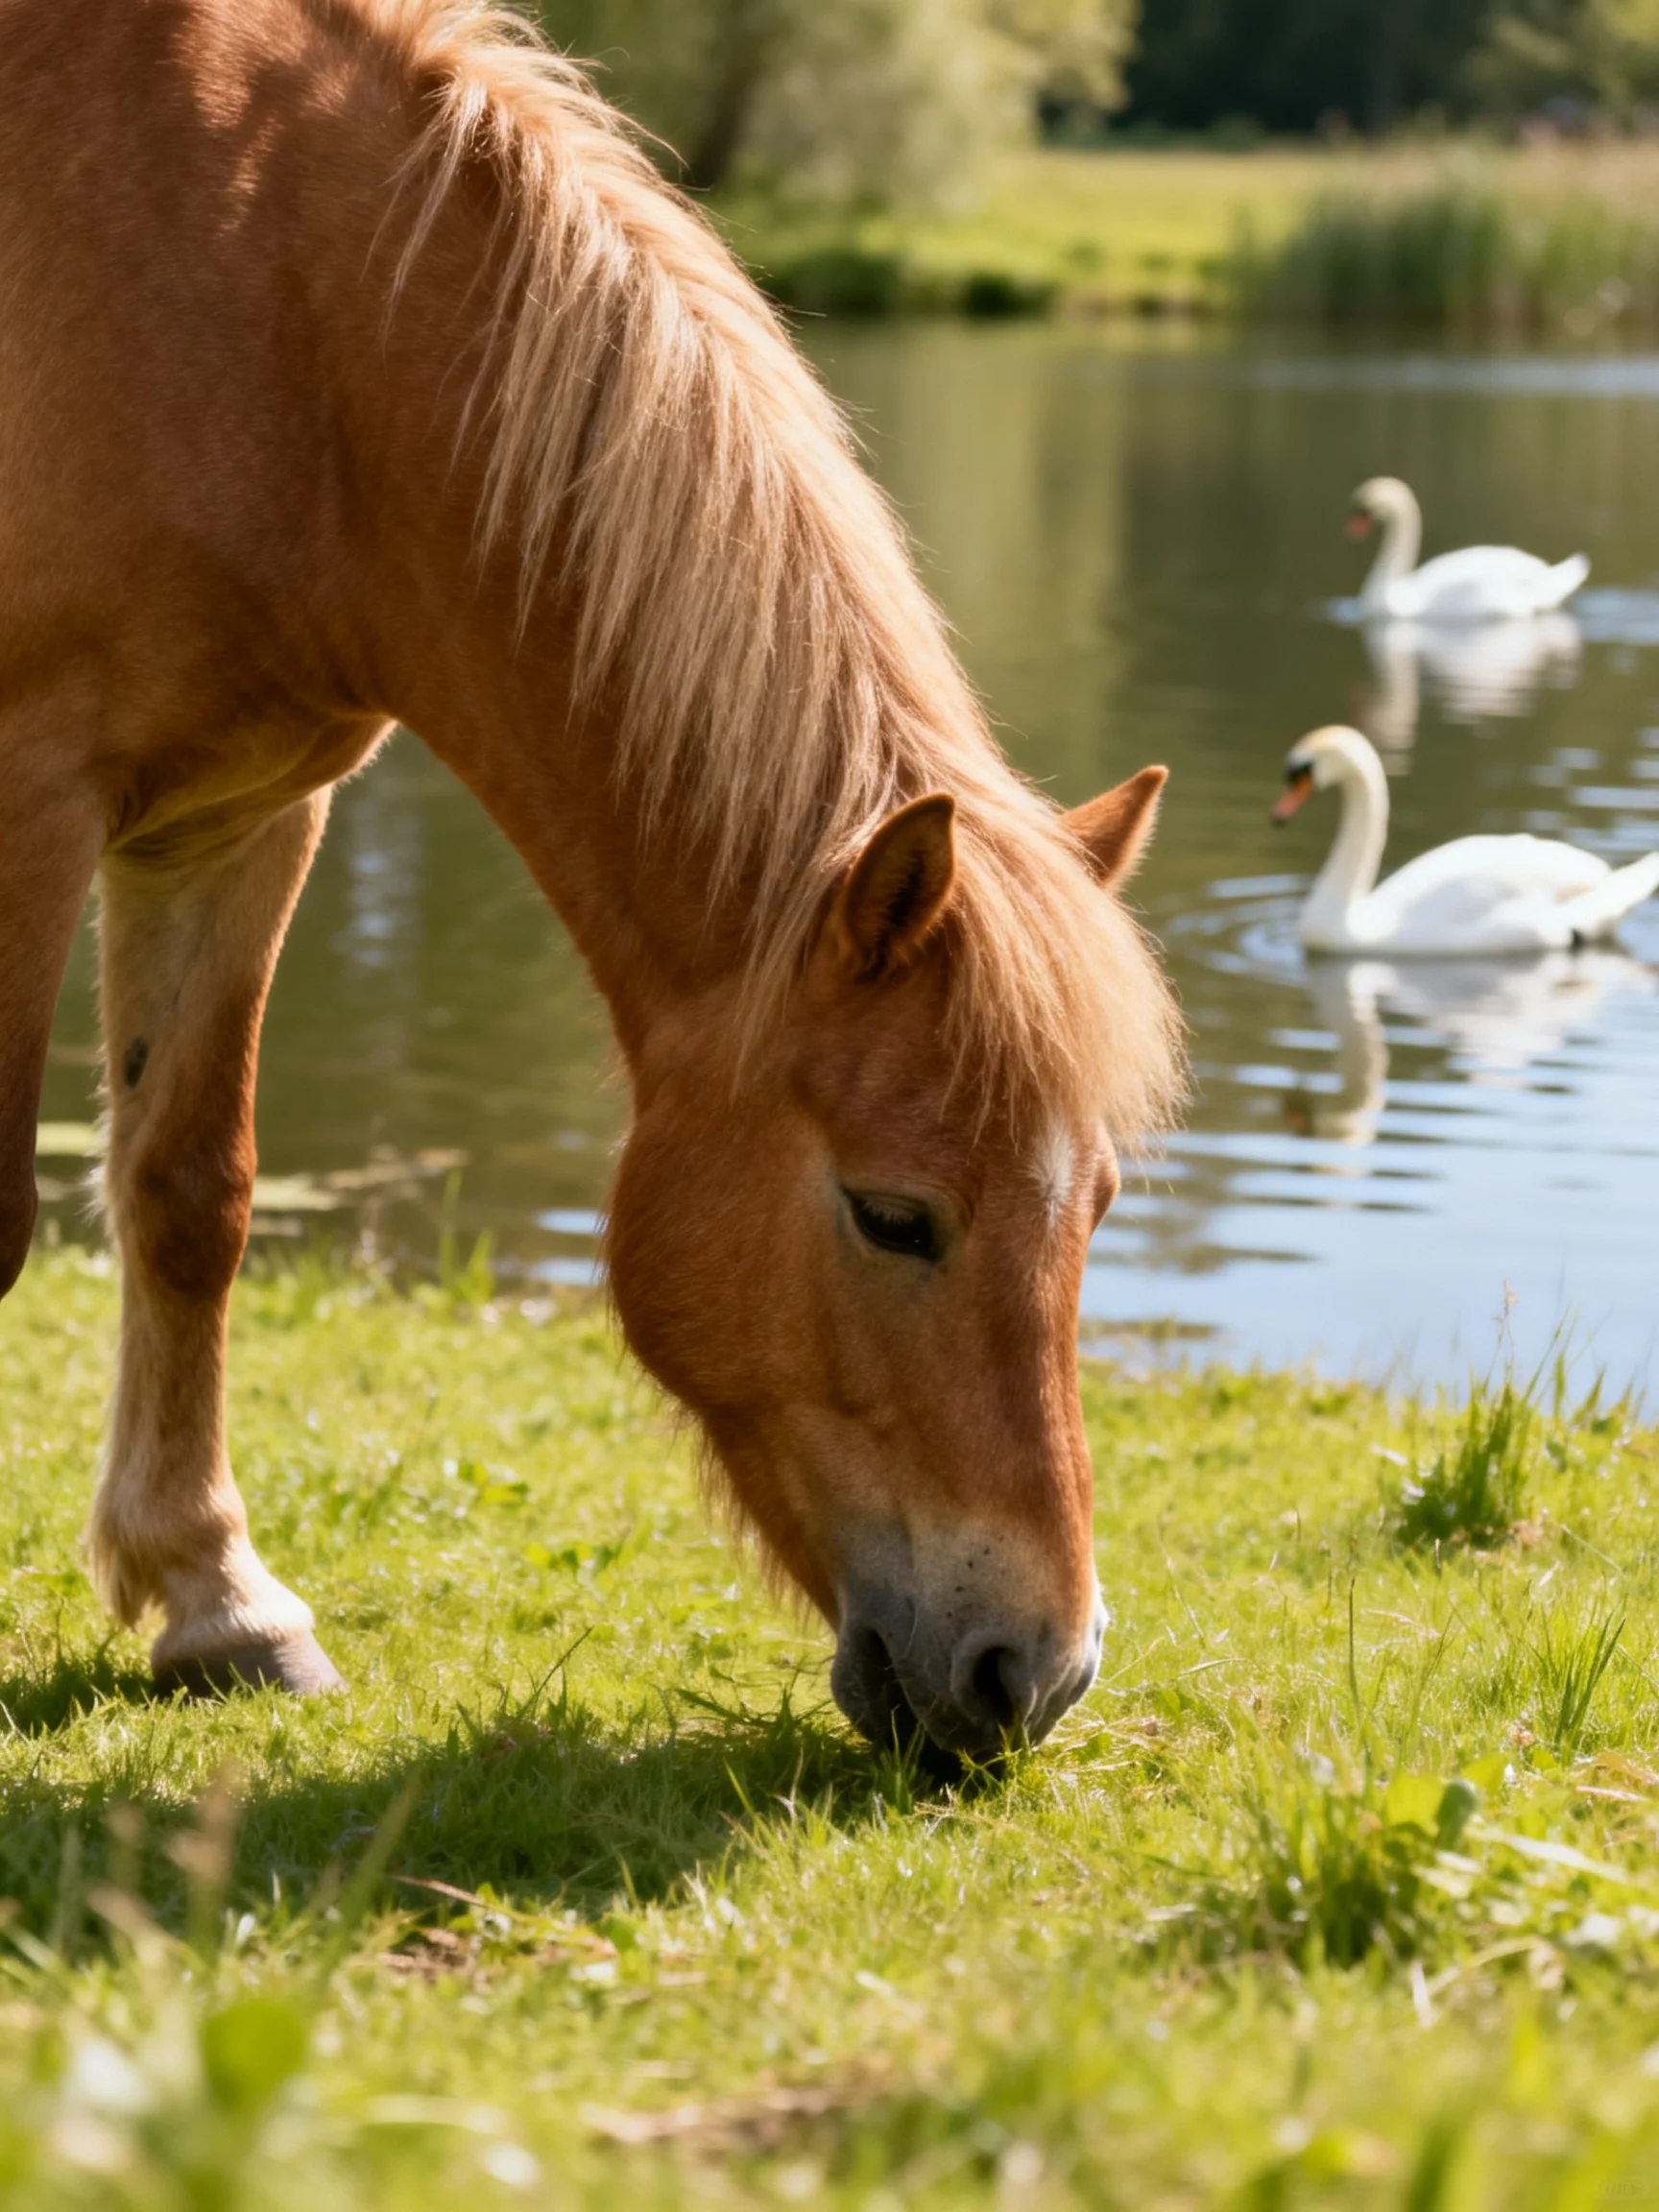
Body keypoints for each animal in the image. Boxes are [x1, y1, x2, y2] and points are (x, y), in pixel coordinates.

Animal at [0, 0, 1182, 1760]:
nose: (1031, 1674)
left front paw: (219, 1601)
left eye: (1094, 1202)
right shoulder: (30, 794)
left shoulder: (236, 818)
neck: (269, 297)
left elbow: (188, 1195)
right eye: (893, 1216)